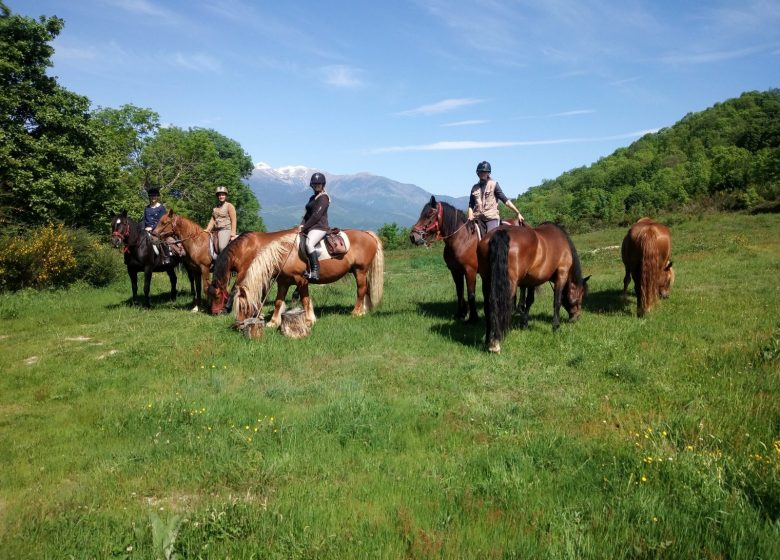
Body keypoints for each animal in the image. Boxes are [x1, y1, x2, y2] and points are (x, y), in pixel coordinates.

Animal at [209, 225, 382, 326]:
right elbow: (278, 301)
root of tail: (367, 234)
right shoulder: (281, 281)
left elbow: (305, 299)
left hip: (360, 271)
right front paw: (272, 321)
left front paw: (309, 319)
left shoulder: (300, 280)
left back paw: (356, 312)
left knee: (361, 290)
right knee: (366, 290)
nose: (238, 324)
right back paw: (364, 310)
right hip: (359, 271)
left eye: (243, 306)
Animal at [476, 224, 592, 352]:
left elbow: (529, 301)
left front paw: (524, 323)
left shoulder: (531, 281)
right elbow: (557, 302)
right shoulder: (562, 274)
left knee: (489, 306)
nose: (577, 316)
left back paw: (488, 339)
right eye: (581, 294)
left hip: (487, 281)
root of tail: (500, 232)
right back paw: (496, 341)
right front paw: (556, 327)